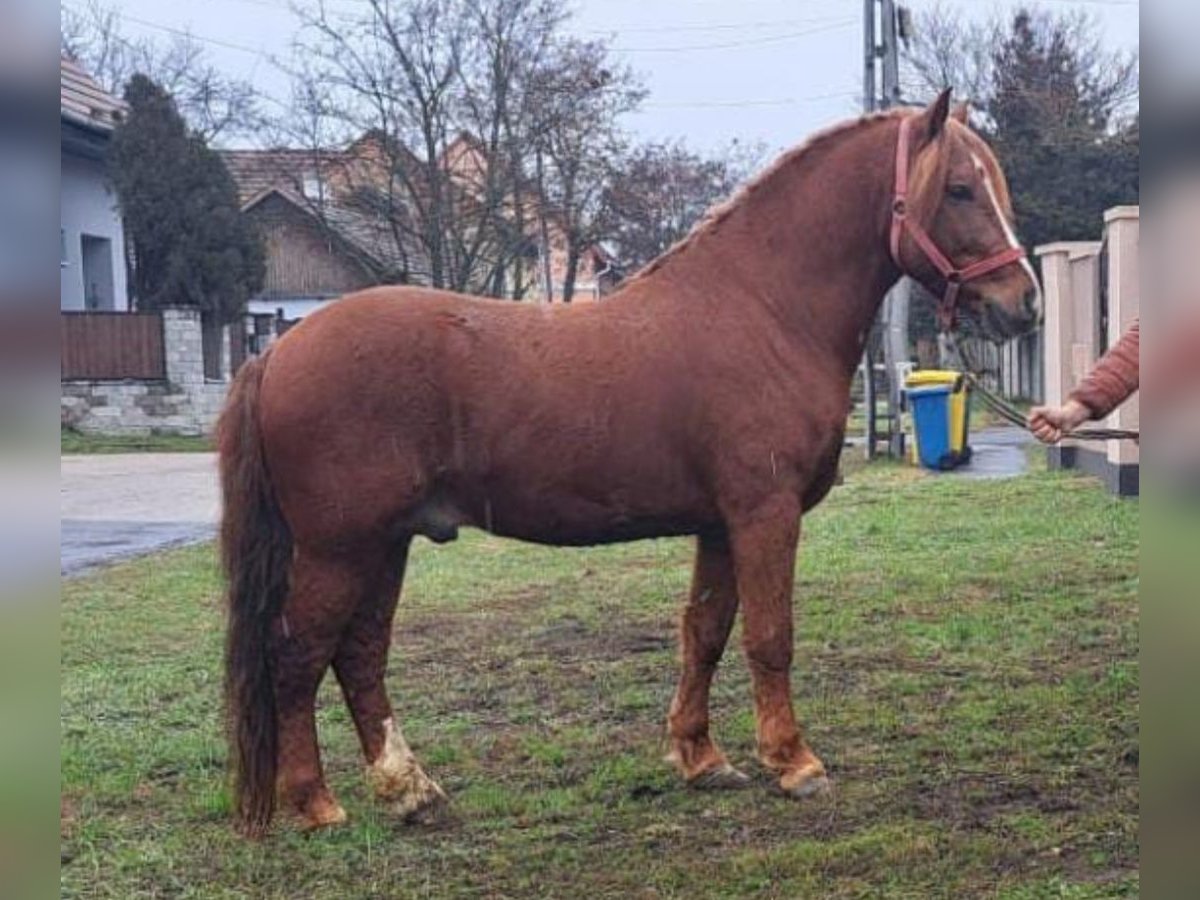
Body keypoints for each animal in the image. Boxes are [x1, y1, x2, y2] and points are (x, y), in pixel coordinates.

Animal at [223, 93, 1041, 840]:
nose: (1023, 304)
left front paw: (702, 759)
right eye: (960, 189)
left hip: (385, 542)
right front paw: (794, 762)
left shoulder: (720, 525)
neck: (762, 310)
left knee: (359, 655)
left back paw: (409, 791)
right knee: (299, 655)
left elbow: (705, 632)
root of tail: (278, 351)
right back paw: (316, 803)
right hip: (340, 548)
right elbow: (769, 635)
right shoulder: (763, 514)